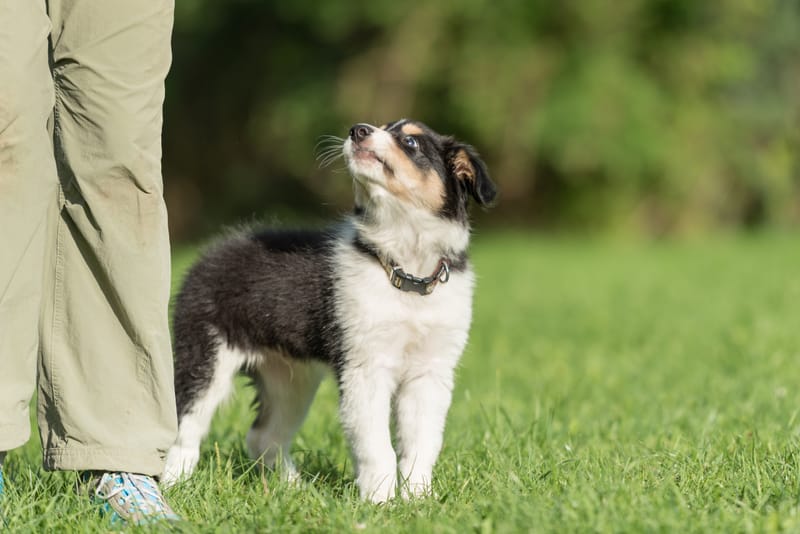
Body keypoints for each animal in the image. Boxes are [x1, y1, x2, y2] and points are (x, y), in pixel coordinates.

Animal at [162, 119, 496, 504]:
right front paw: (381, 503)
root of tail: (210, 252)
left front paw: (418, 499)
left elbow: (421, 445)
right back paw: (172, 489)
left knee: (264, 437)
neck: (406, 272)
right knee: (184, 430)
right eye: (382, 127)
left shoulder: (430, 373)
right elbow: (377, 446)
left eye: (410, 142)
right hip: (204, 357)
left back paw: (294, 488)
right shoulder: (365, 368)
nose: (358, 129)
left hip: (290, 379)